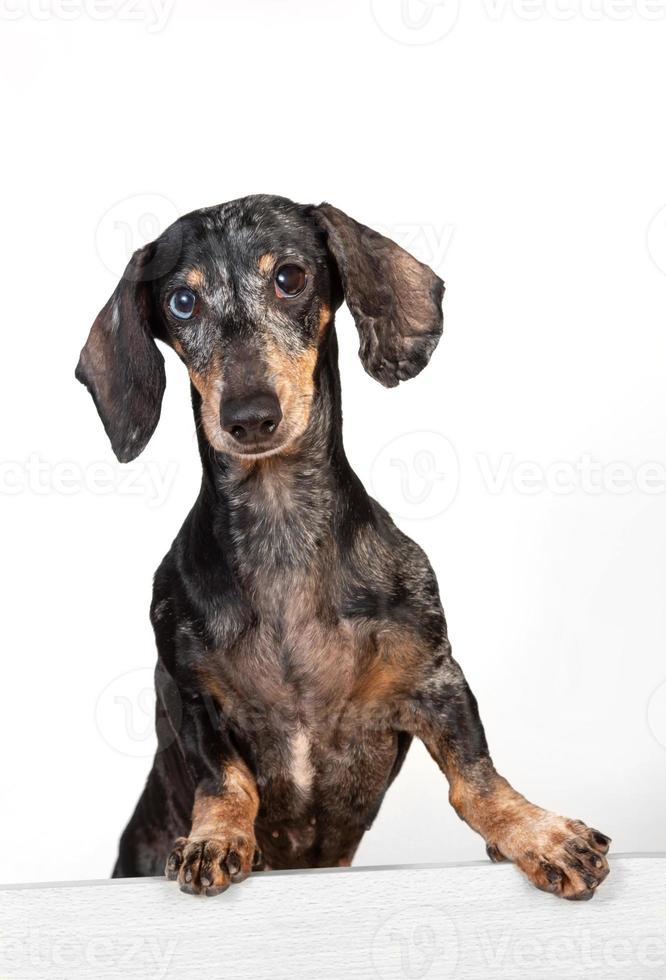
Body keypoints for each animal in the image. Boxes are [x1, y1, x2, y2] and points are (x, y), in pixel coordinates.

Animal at [75, 195, 608, 900]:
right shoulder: (187, 693)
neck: (282, 529)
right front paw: (217, 837)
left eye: (290, 277)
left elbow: (477, 780)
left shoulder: (436, 677)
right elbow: (225, 780)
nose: (249, 417)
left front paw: (538, 832)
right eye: (182, 303)